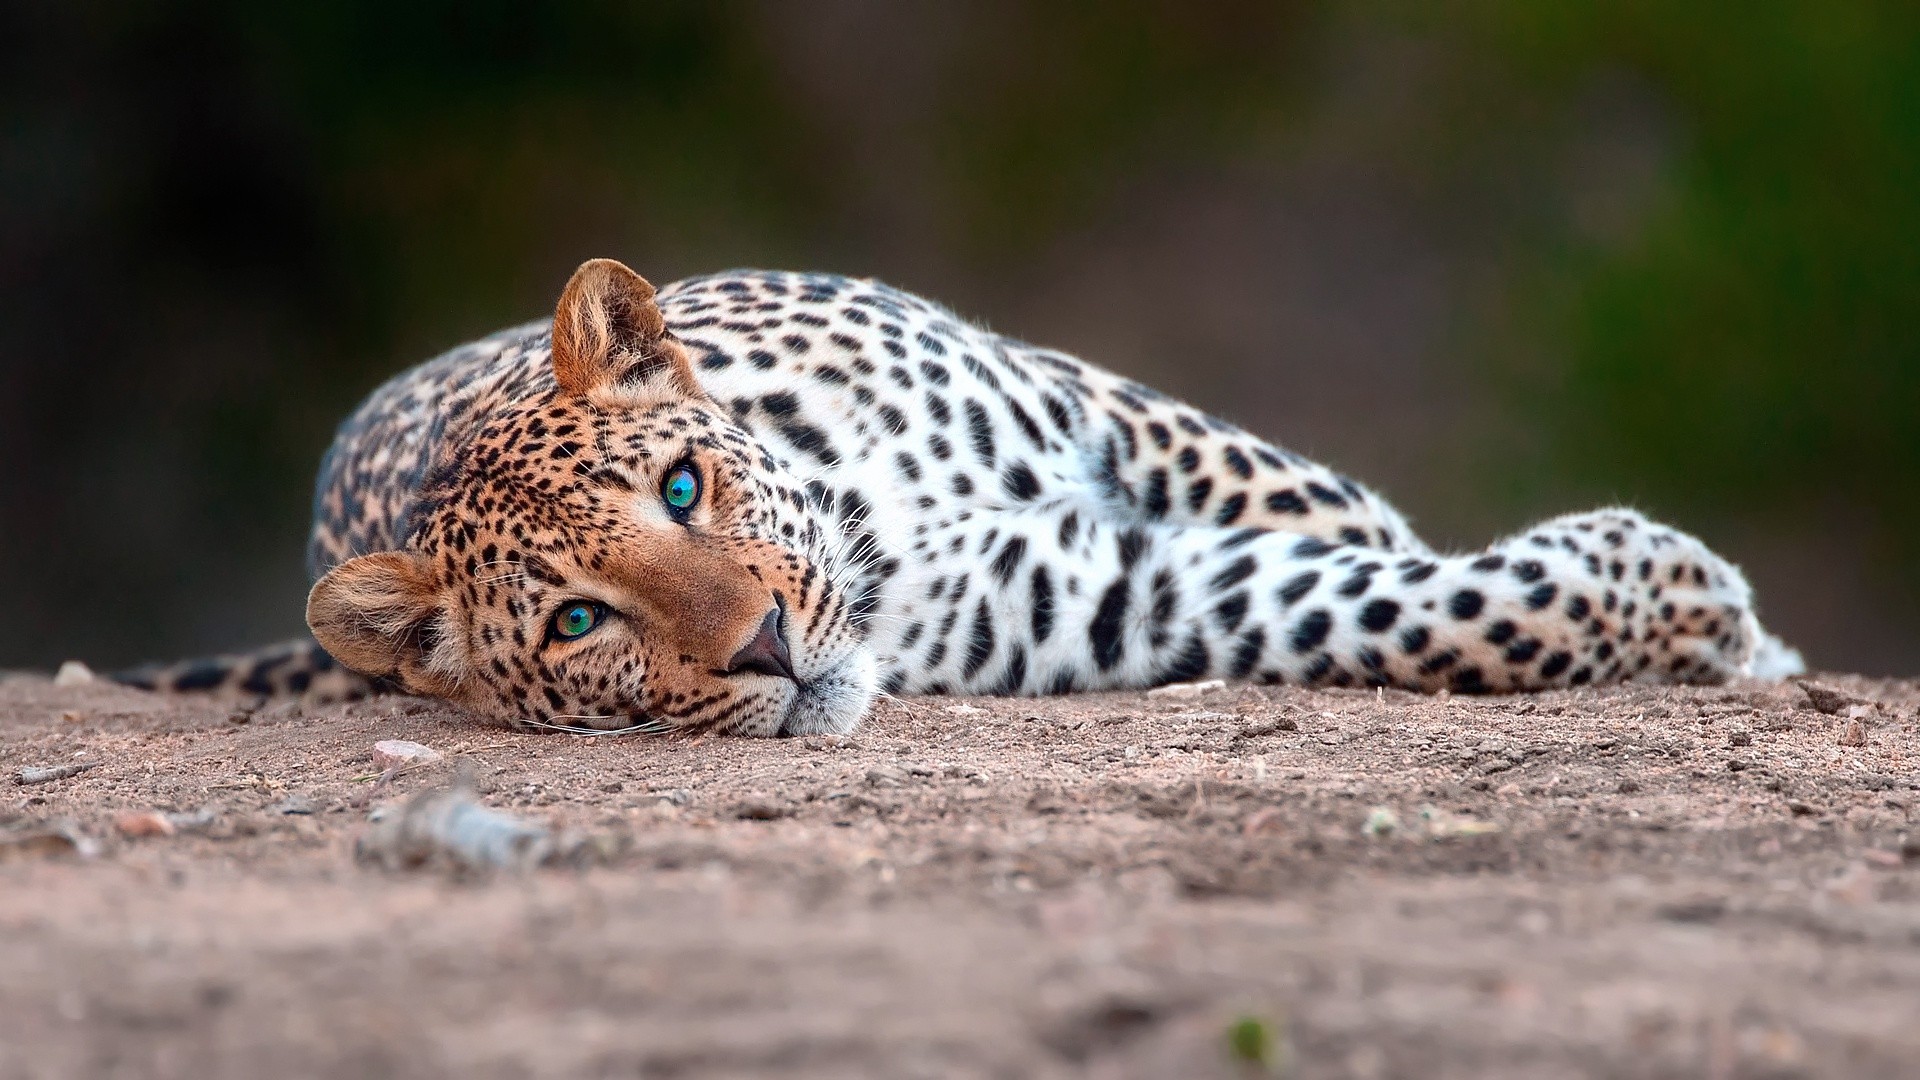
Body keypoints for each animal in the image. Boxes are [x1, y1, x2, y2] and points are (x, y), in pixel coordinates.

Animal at [109, 258, 1803, 736]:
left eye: (682, 484)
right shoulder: (1114, 604)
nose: (767, 650)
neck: (869, 520)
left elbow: (1342, 527)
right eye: (580, 622)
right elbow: (1411, 610)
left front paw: (1723, 622)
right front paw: (1689, 602)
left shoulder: (1108, 415)